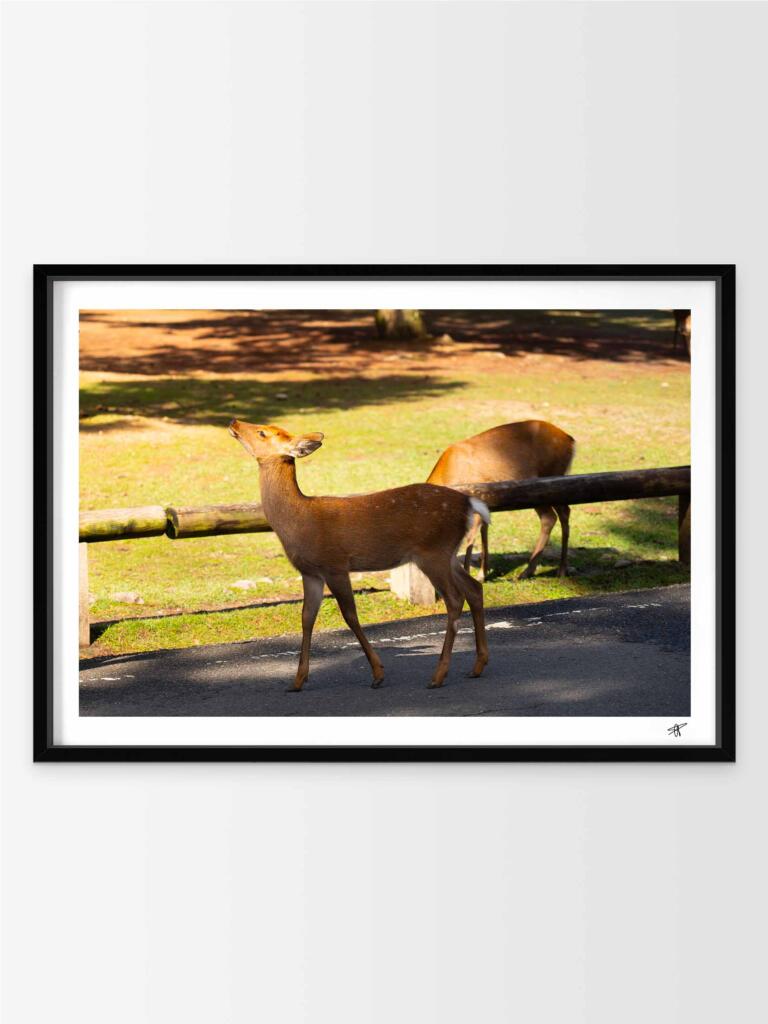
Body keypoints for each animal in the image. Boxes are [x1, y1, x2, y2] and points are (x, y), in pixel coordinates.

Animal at [229, 419, 490, 691]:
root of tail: (470, 504)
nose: (234, 422)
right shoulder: (311, 572)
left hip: (433, 552)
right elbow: (306, 618)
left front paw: (378, 673)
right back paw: (477, 666)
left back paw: (438, 675)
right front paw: (298, 680)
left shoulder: (335, 564)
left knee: (455, 599)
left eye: (262, 432)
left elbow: (350, 615)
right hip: (447, 554)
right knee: (474, 588)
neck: (298, 521)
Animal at [427, 420, 576, 582]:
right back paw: (550, 569)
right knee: (560, 513)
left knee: (553, 516)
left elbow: (470, 537)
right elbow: (484, 532)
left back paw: (542, 571)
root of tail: (570, 440)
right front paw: (482, 574)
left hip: (546, 482)